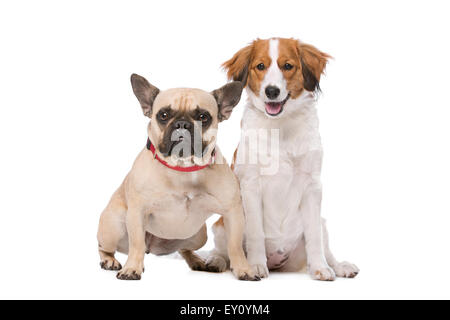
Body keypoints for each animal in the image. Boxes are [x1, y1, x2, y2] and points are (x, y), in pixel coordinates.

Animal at [206, 38, 360, 280]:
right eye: (260, 66)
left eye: (288, 66)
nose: (272, 91)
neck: (281, 127)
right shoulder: (251, 186)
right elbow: (255, 232)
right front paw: (255, 265)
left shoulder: (313, 186)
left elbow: (314, 235)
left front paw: (320, 268)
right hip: (221, 225)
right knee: (225, 251)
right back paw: (216, 261)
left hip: (321, 224)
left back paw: (339, 266)